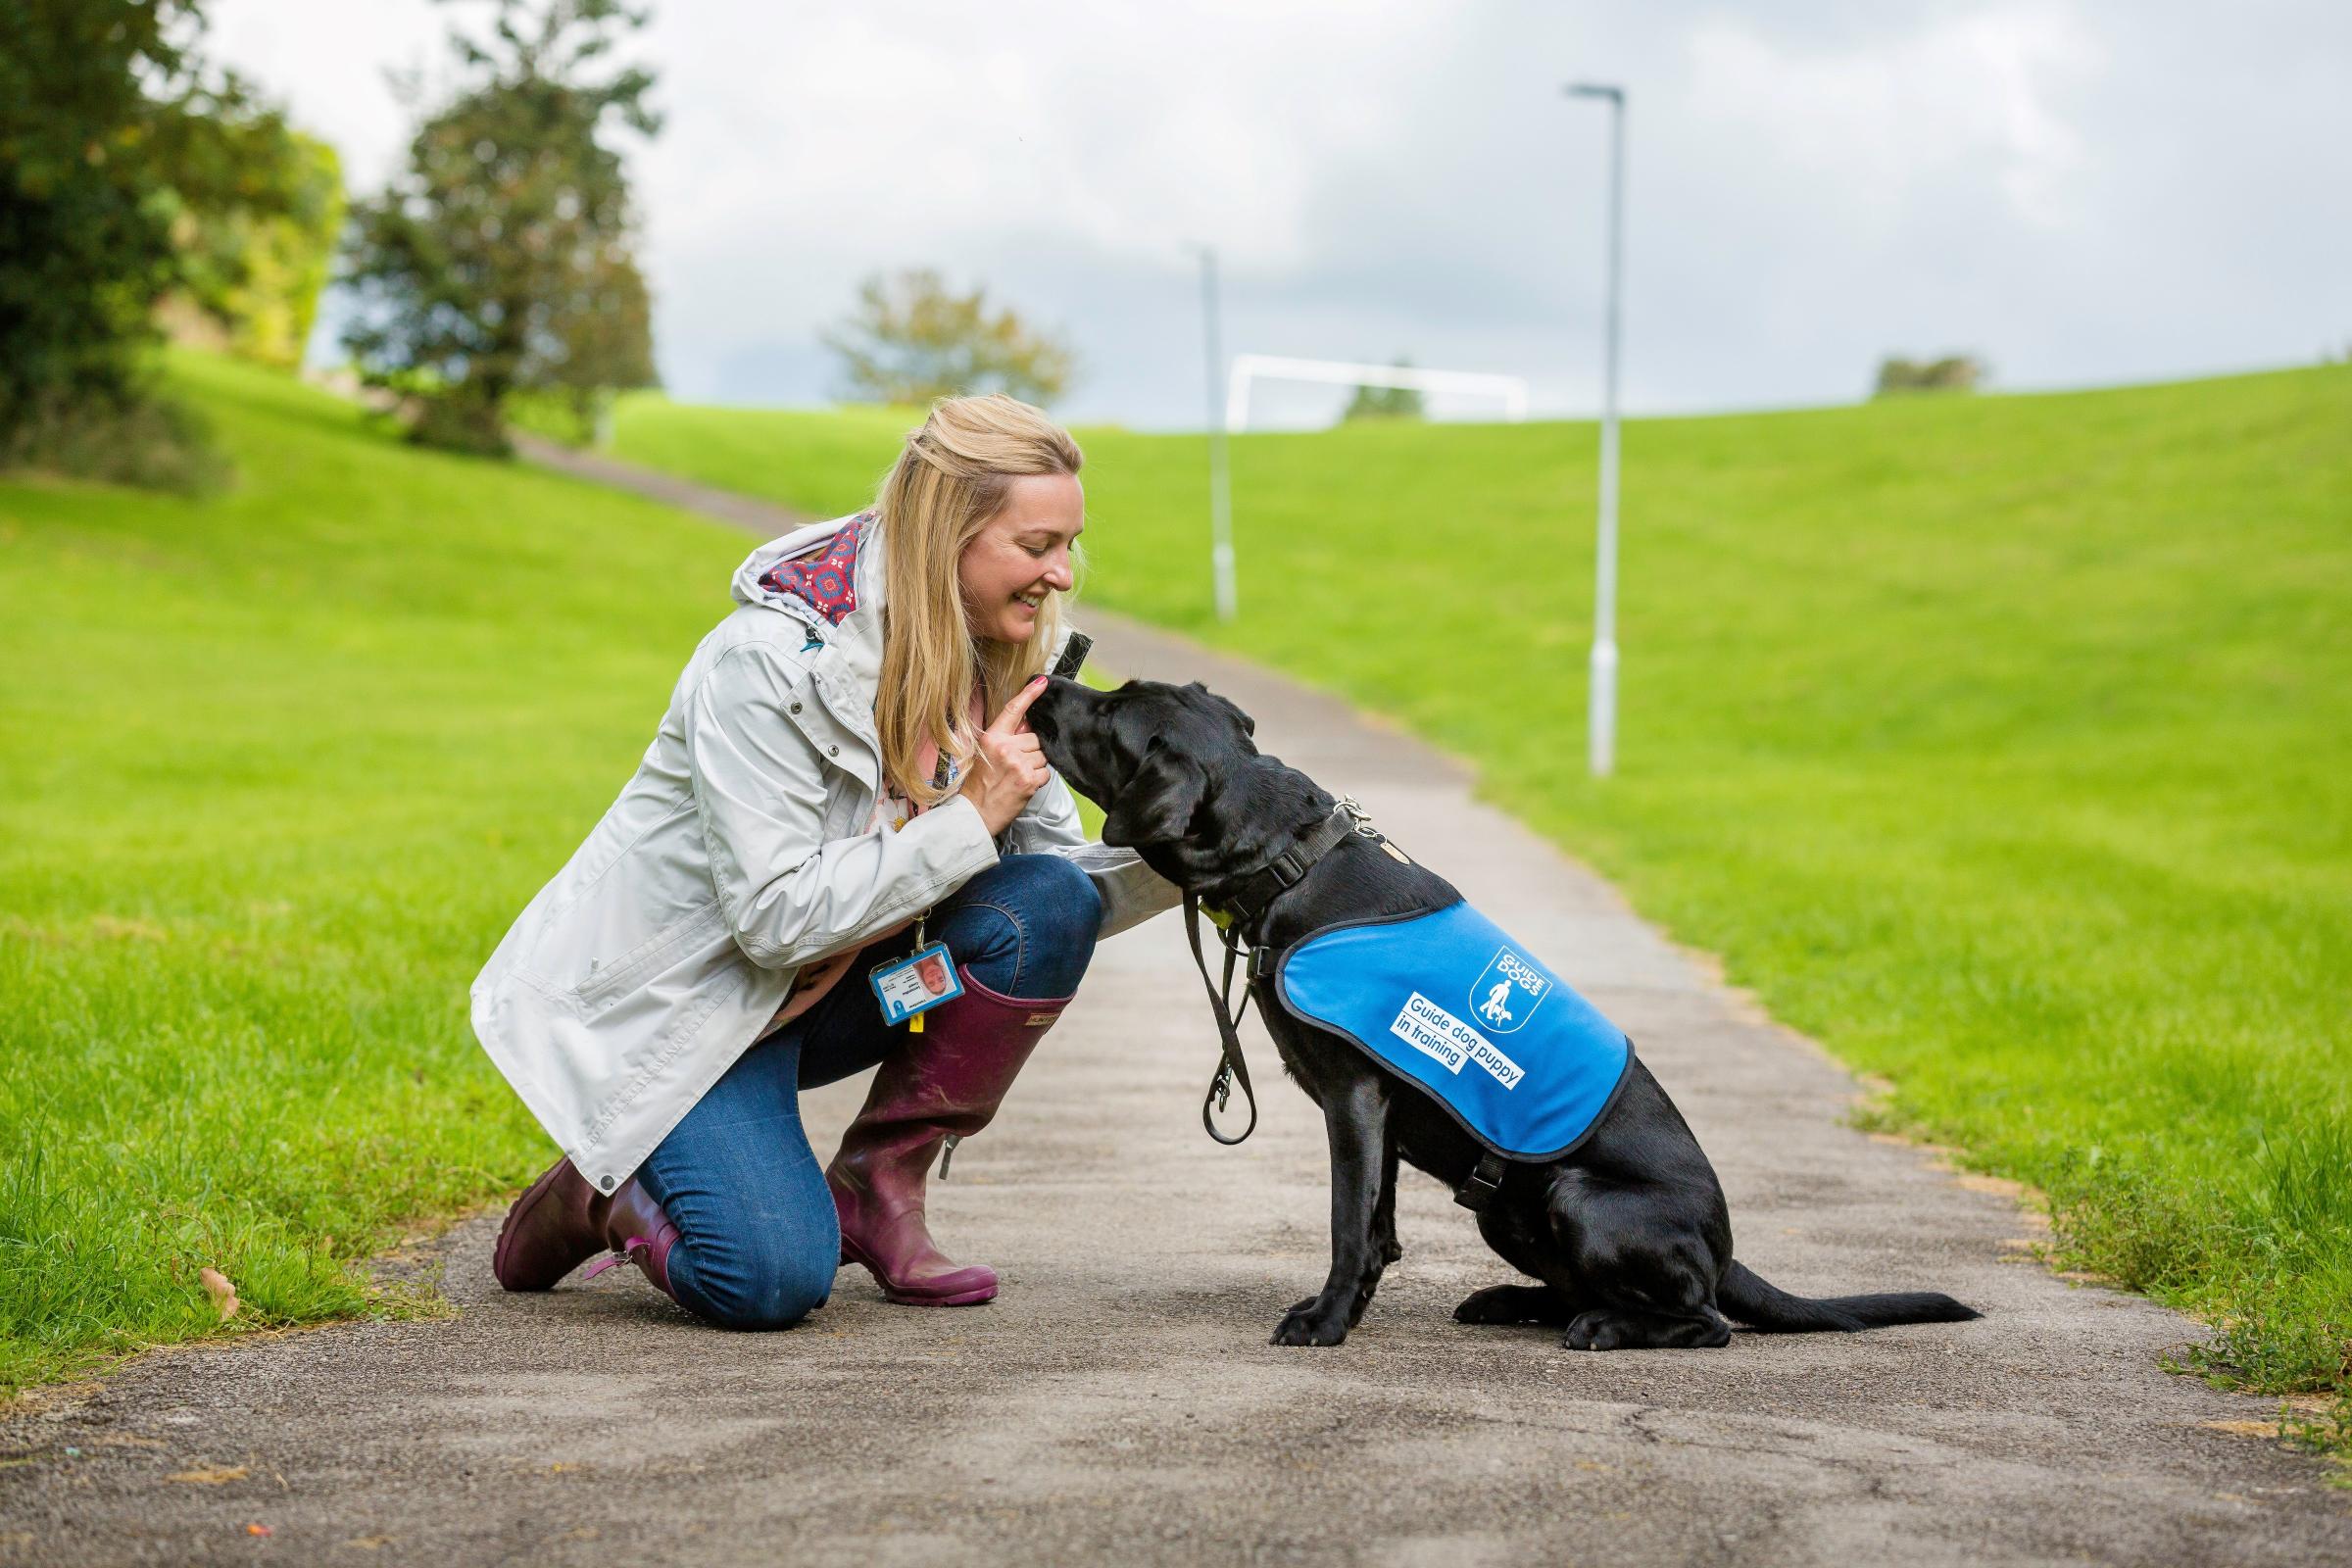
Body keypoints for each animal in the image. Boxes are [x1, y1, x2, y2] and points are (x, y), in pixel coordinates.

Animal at [1035, 676, 1984, 1353]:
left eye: (1109, 713)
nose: (1045, 685)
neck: (1290, 863)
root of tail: (1727, 1248)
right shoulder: (1380, 1111)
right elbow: (1377, 1229)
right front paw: (1350, 1309)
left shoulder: (1355, 1100)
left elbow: (1348, 1226)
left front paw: (1326, 1322)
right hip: (1504, 1211)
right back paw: (1514, 1303)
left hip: (1580, 1196)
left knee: (1705, 1320)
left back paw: (1607, 1329)